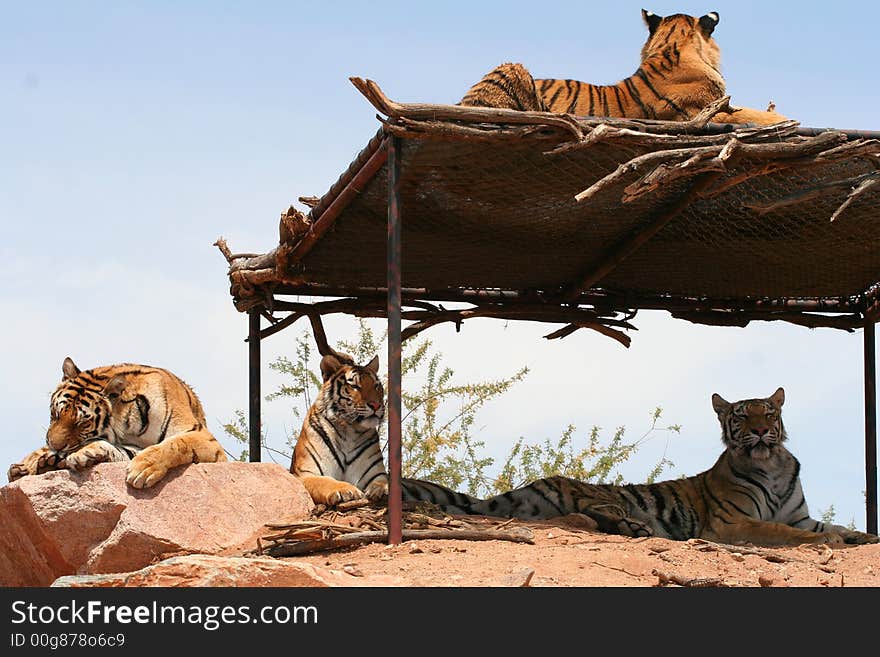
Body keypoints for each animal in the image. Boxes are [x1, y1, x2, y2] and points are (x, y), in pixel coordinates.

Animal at [7, 358, 227, 486]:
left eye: (82, 423)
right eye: (55, 414)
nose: (54, 445)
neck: (129, 426)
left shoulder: (205, 439)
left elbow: (175, 444)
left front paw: (142, 470)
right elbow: (124, 451)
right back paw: (26, 467)